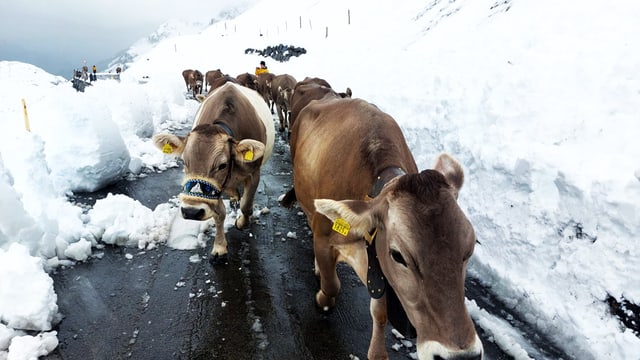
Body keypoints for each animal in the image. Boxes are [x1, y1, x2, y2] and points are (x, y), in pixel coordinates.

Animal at [156, 82, 278, 262]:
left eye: (222, 165)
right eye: (184, 161)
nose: (191, 211)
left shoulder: (253, 173)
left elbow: (246, 205)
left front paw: (241, 222)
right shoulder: (215, 189)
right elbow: (219, 214)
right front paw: (219, 247)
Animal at [282, 96, 482, 360]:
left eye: (469, 251)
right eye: (398, 255)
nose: (462, 356)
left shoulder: (378, 262)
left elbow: (380, 312)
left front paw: (377, 352)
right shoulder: (324, 238)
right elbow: (331, 284)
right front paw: (322, 297)